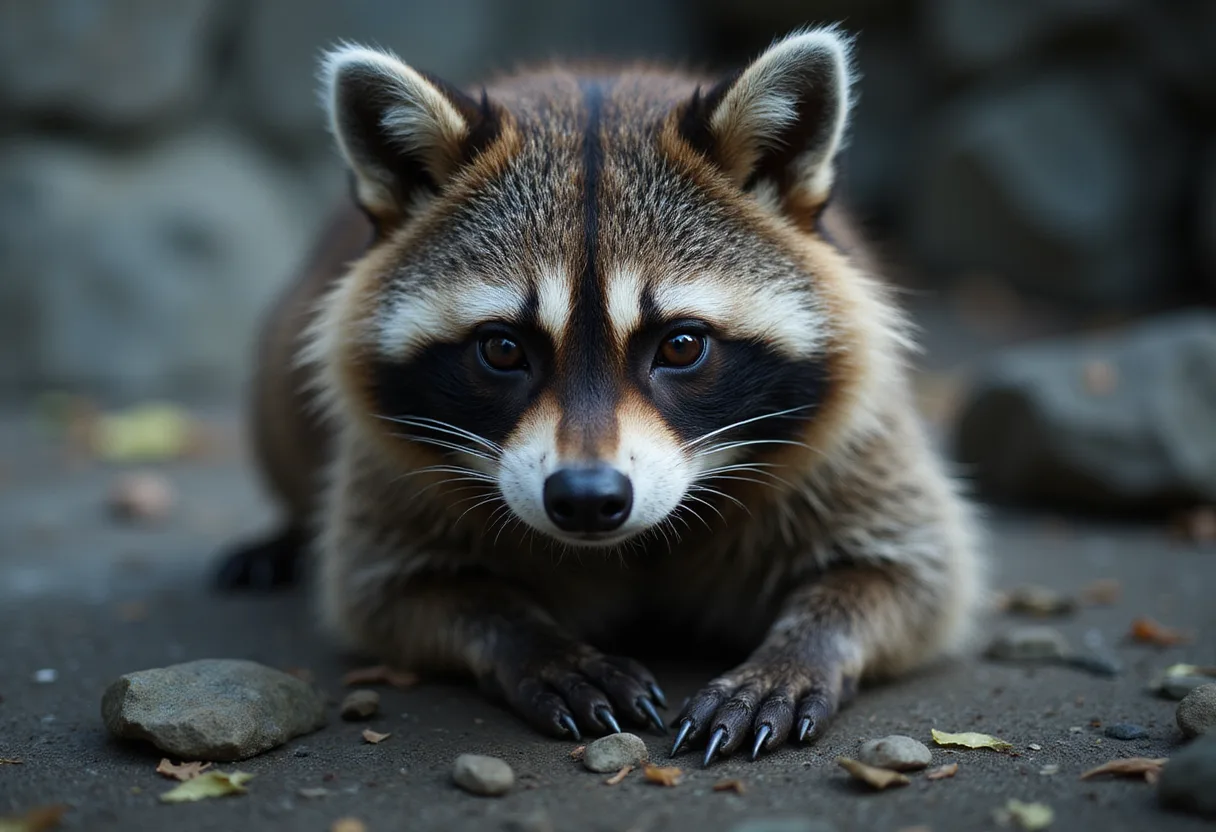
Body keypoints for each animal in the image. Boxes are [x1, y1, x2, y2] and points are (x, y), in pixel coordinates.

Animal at [217, 27, 984, 765]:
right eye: (503, 349)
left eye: (680, 345)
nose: (586, 499)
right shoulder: (391, 479)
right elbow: (393, 590)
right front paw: (533, 641)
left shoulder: (857, 435)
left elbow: (913, 572)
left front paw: (798, 651)